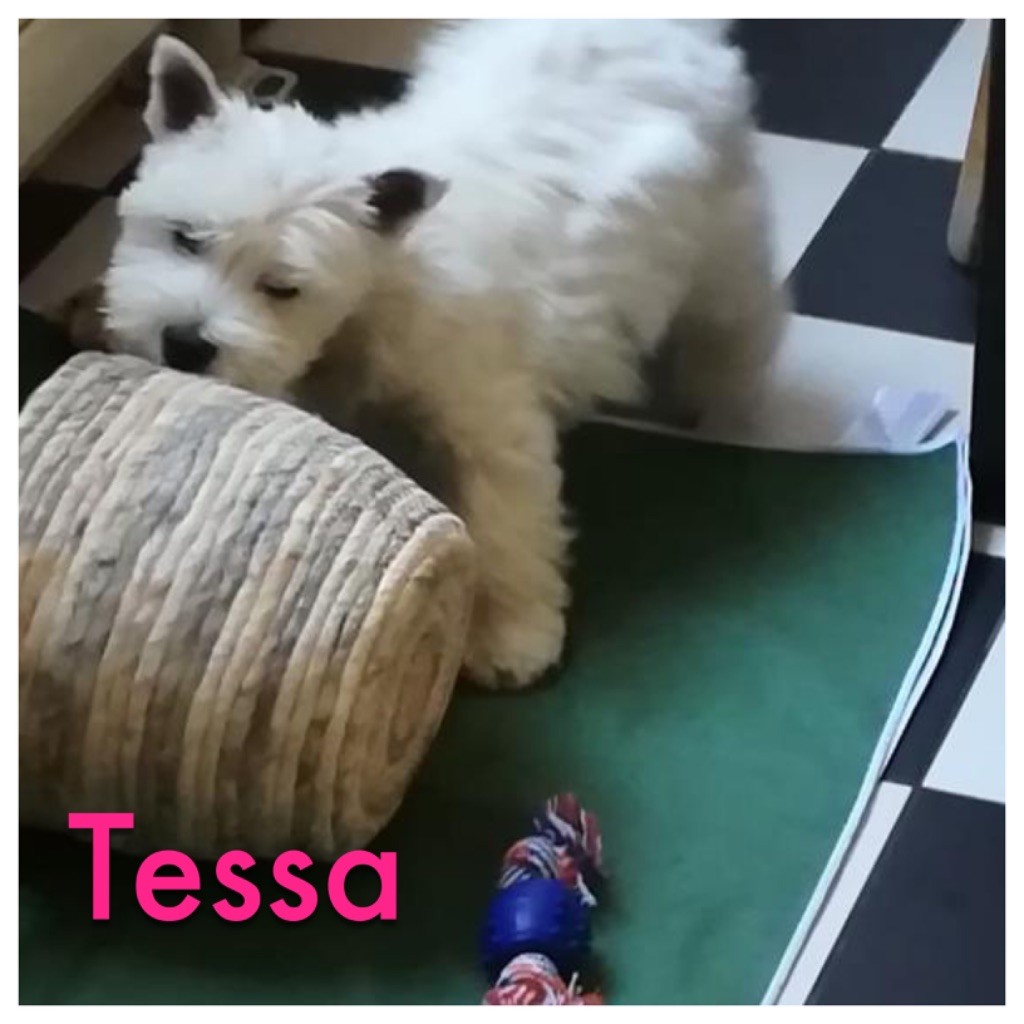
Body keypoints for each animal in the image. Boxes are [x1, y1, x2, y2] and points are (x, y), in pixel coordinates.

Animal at [103, 20, 785, 689]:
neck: (379, 285)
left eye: (282, 287)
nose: (185, 343)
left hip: (720, 235)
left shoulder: (491, 417)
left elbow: (508, 527)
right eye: (186, 237)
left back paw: (720, 394)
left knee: (740, 316)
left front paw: (511, 638)